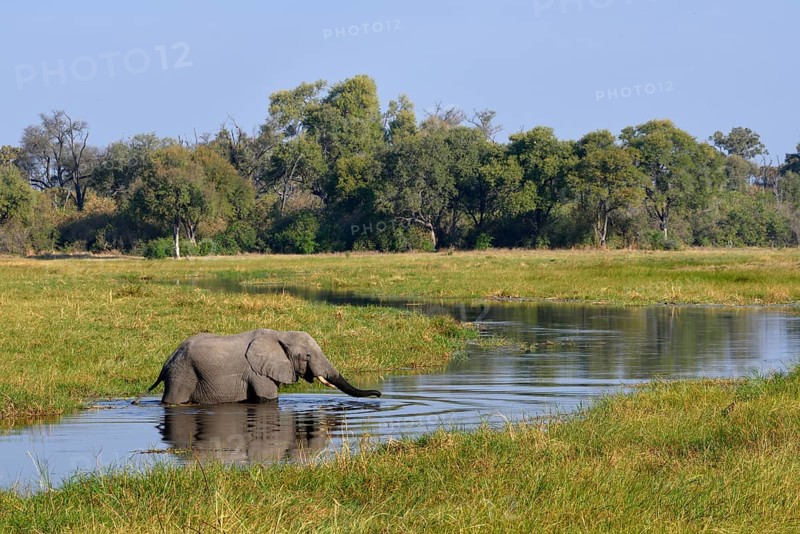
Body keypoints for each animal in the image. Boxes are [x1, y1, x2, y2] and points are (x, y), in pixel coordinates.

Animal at [138, 329, 381, 405]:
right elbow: (268, 398)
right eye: (307, 356)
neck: (280, 334)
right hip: (182, 374)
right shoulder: (257, 373)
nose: (379, 394)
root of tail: (166, 363)